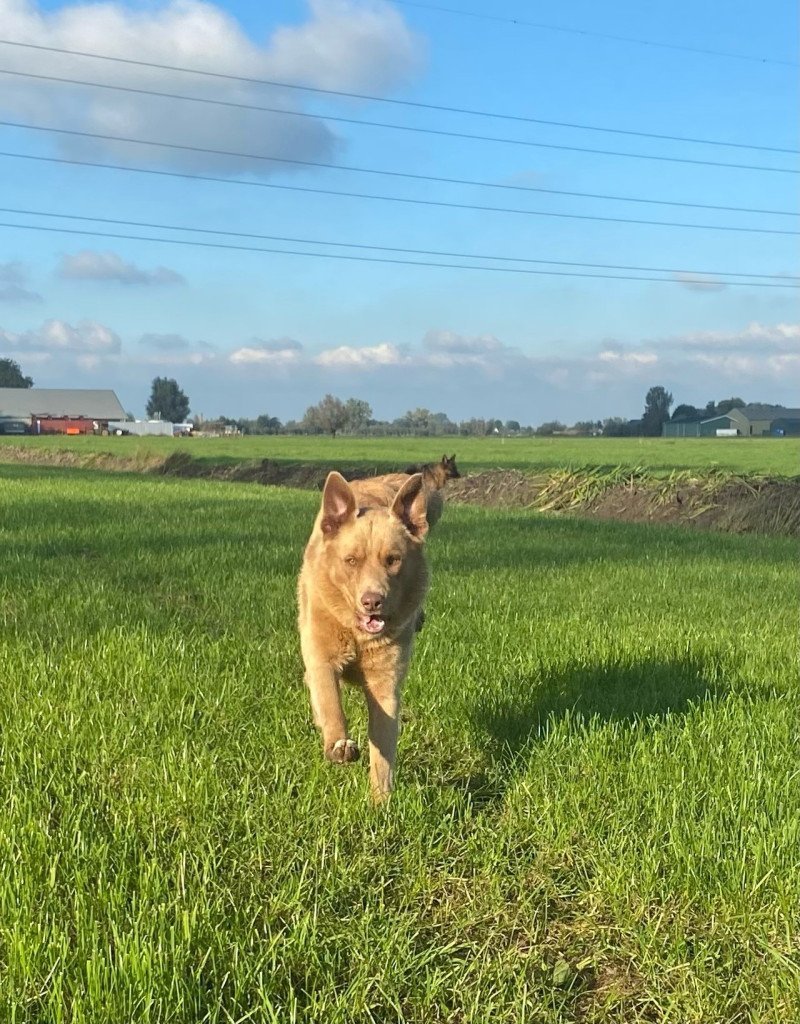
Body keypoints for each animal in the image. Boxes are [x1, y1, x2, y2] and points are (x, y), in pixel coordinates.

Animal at [295, 471, 430, 798]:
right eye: (351, 560)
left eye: (393, 559)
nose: (372, 601)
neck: (357, 635)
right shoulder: (322, 657)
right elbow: (330, 700)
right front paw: (339, 744)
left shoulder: (386, 681)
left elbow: (384, 744)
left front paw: (382, 800)